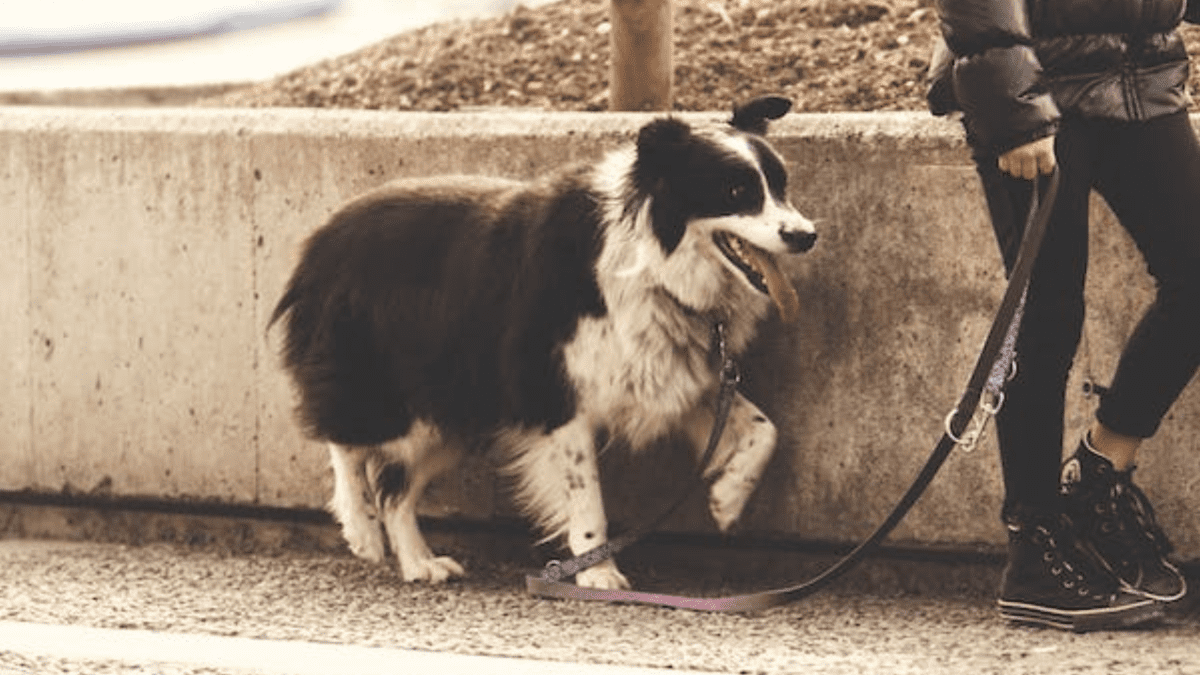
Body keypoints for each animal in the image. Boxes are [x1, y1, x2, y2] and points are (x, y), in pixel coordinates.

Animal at [271, 97, 816, 586]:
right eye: (736, 191)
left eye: (781, 186)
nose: (806, 235)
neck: (652, 262)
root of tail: (320, 240)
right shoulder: (558, 392)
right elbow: (586, 494)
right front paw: (598, 575)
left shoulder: (671, 374)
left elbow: (765, 429)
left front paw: (727, 500)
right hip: (390, 382)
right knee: (346, 441)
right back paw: (361, 529)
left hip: (456, 406)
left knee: (395, 489)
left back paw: (419, 563)